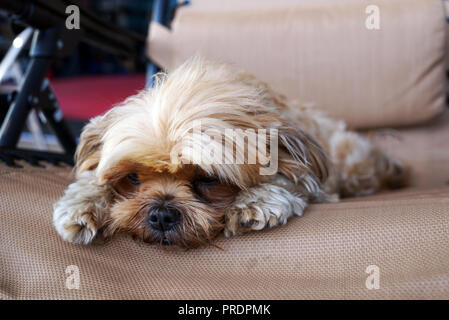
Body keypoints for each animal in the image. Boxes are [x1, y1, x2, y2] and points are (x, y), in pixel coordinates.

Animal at [52, 57, 406, 248]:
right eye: (133, 178)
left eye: (208, 180)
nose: (161, 213)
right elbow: (90, 180)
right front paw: (82, 203)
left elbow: (284, 181)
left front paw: (255, 201)